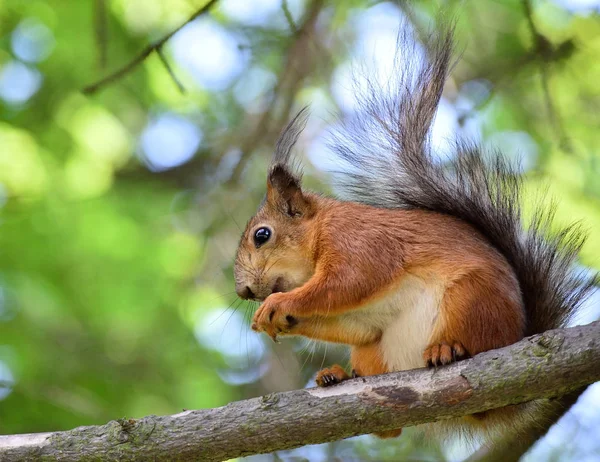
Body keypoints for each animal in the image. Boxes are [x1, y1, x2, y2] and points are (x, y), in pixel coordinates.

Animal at [232, 22, 592, 440]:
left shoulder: (361, 244)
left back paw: (447, 350)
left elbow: (346, 283)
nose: (244, 291)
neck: (320, 233)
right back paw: (338, 377)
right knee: (388, 422)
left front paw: (280, 305)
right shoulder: (362, 316)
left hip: (472, 299)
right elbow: (354, 321)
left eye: (262, 235)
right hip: (376, 352)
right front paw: (277, 320)